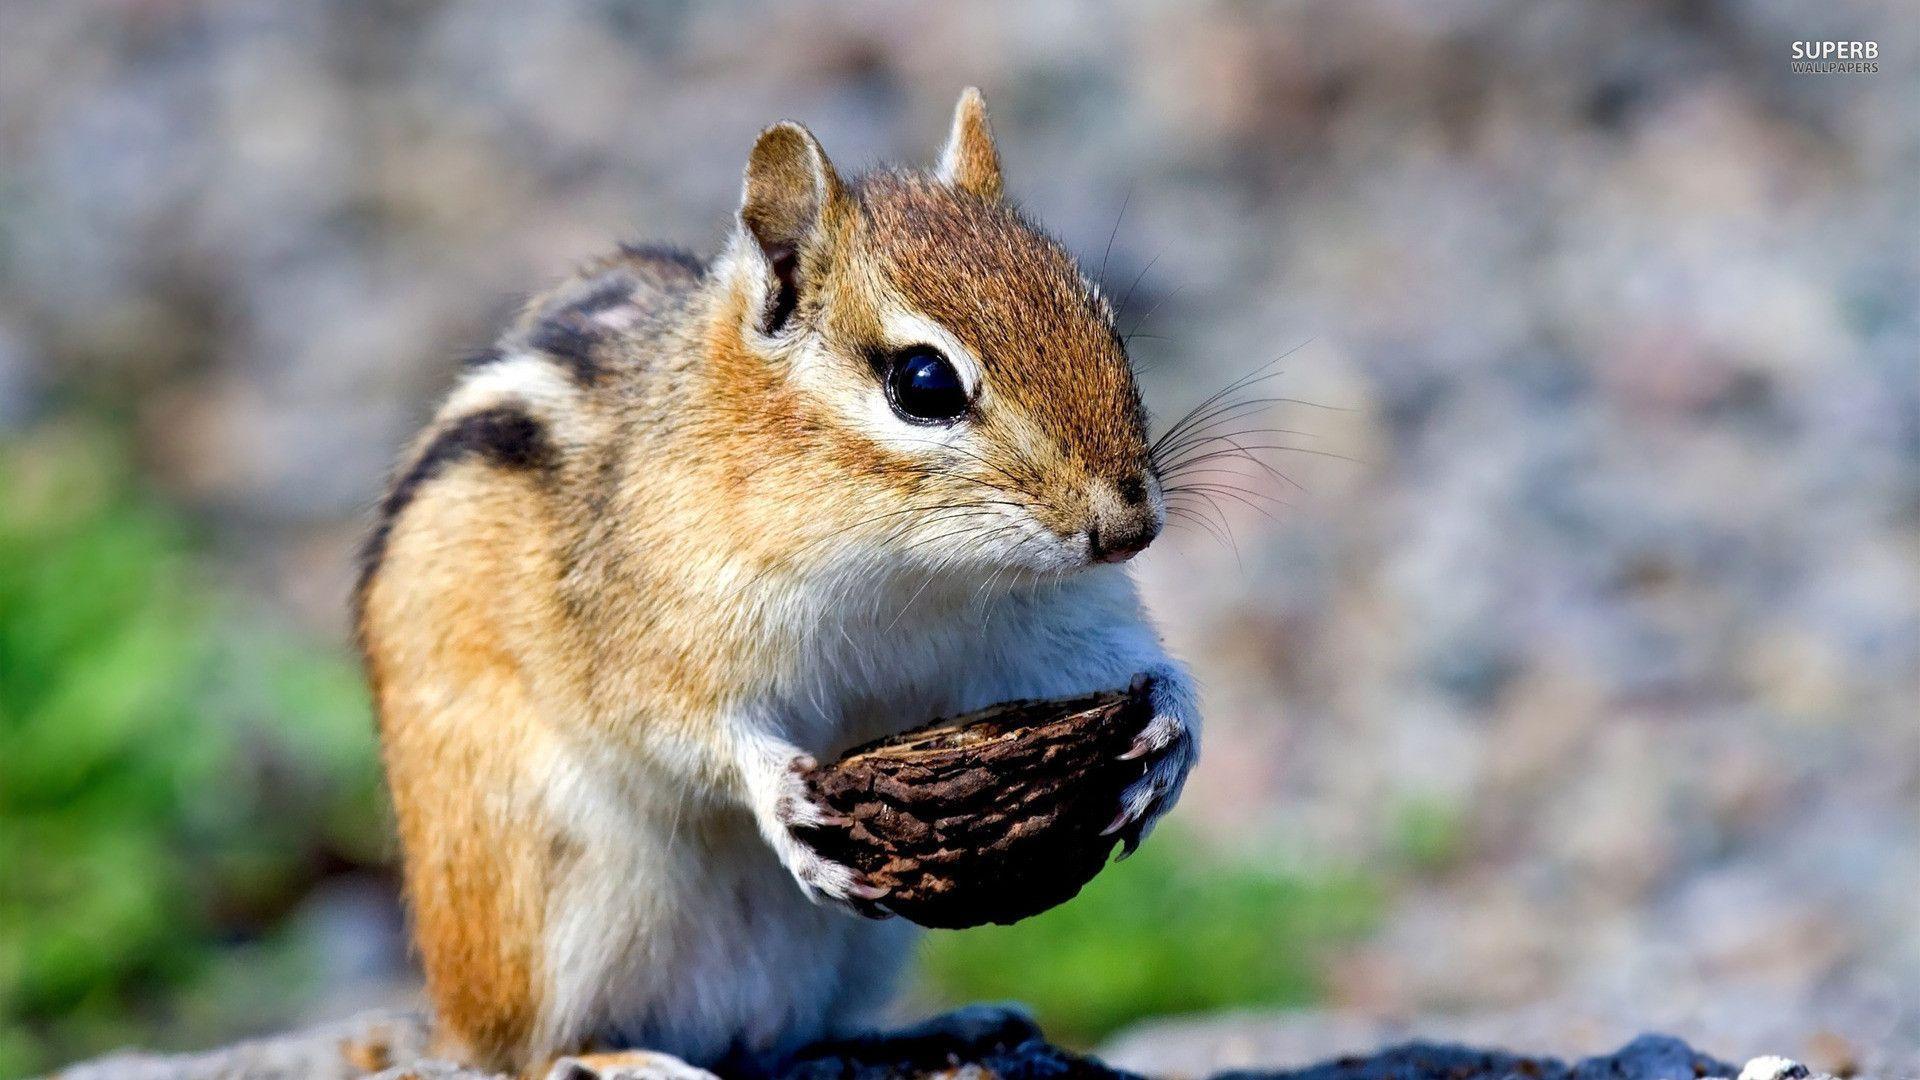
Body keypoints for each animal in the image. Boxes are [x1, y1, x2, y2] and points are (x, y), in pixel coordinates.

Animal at [354, 89, 1200, 1080]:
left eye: (1099, 314)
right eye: (923, 382)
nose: (1130, 529)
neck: (915, 571)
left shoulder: (1052, 623)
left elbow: (1129, 662)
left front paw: (1172, 731)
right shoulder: (655, 625)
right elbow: (678, 725)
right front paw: (780, 798)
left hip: (864, 946)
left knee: (797, 1039)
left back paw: (941, 1026)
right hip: (549, 902)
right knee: (531, 1053)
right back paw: (635, 1060)